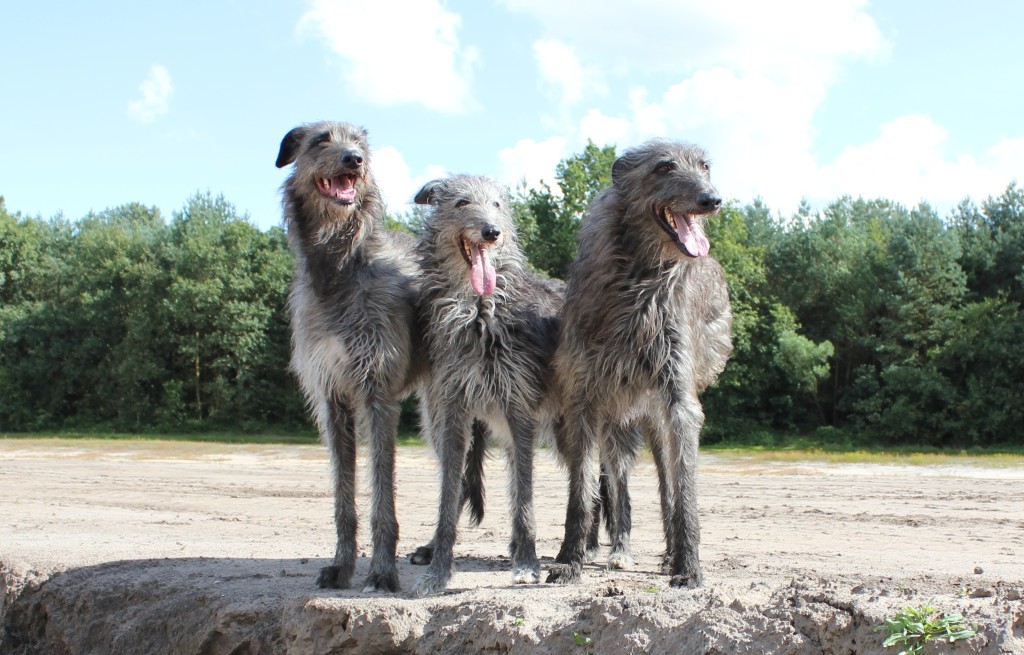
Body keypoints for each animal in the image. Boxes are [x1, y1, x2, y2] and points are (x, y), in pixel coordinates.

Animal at [274, 120, 421, 589]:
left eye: (360, 144)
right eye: (320, 139)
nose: (353, 160)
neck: (339, 267)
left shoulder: (378, 394)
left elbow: (382, 494)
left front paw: (382, 572)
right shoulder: (331, 397)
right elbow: (343, 493)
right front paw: (342, 565)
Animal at [411, 176, 565, 597]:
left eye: (497, 204)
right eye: (462, 202)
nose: (492, 232)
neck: (479, 312)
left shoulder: (519, 406)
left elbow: (525, 496)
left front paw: (527, 564)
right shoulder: (452, 409)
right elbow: (449, 493)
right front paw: (438, 570)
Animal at [548, 138, 733, 589]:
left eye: (704, 166)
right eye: (664, 167)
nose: (712, 199)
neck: (638, 277)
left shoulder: (678, 398)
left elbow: (684, 493)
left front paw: (689, 566)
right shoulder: (583, 401)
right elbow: (581, 492)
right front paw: (569, 559)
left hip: (655, 419)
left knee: (668, 484)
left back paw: (670, 554)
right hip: (616, 425)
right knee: (619, 487)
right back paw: (619, 548)